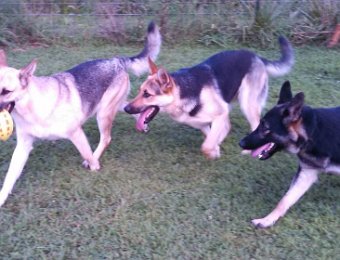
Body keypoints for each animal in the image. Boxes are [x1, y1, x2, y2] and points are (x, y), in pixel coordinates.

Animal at [0, 20, 162, 207]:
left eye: (6, 91)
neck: (32, 107)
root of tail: (116, 60)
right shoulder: (23, 146)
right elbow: (9, 177)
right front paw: (2, 198)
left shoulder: (76, 133)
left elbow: (88, 155)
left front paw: (94, 166)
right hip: (112, 106)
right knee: (130, 107)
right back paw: (143, 123)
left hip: (103, 114)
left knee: (106, 138)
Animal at [123, 36, 294, 158]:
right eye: (139, 91)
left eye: (147, 94)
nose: (125, 108)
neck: (183, 94)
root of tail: (256, 56)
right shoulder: (203, 122)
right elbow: (210, 138)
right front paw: (215, 148)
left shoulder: (220, 114)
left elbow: (206, 145)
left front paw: (213, 152)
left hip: (247, 103)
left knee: (255, 124)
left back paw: (249, 151)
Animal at [239, 80, 340, 228]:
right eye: (259, 124)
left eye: (266, 128)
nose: (241, 143)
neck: (313, 133)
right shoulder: (306, 173)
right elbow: (285, 200)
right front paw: (267, 219)